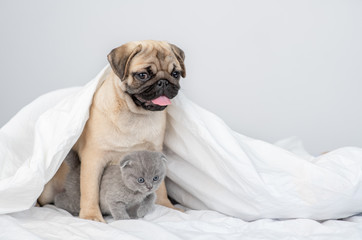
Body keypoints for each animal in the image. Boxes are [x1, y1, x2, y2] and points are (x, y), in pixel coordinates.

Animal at [39, 40, 187, 222]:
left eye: (176, 74)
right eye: (142, 75)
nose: (164, 82)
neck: (135, 114)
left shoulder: (155, 153)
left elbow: (161, 188)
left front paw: (167, 207)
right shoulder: (93, 160)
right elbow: (90, 192)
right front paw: (91, 216)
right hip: (48, 190)